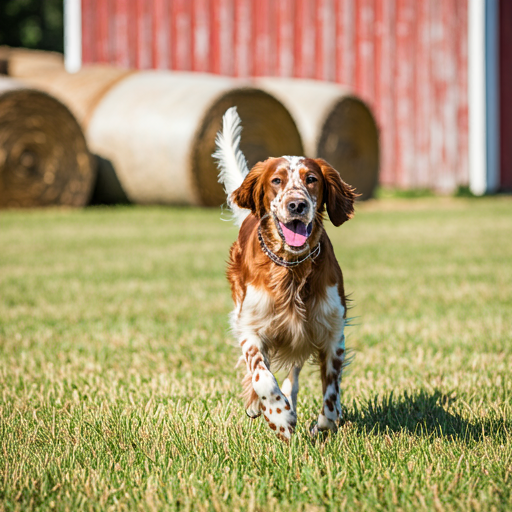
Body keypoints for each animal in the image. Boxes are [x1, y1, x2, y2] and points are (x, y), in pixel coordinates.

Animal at [213, 107, 356, 440]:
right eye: (277, 180)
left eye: (312, 179)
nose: (297, 205)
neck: (292, 268)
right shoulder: (251, 327)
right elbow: (261, 375)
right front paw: (278, 416)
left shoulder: (330, 331)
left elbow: (331, 391)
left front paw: (323, 426)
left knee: (294, 374)